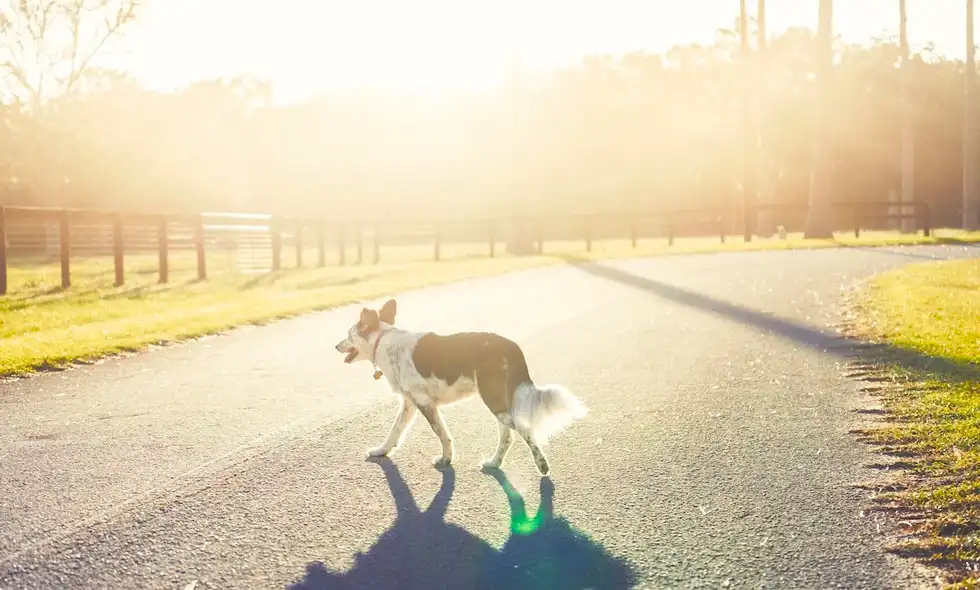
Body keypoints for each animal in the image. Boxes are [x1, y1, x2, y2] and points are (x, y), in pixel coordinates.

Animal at [334, 300, 584, 476]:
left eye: (349, 335)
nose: (336, 346)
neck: (383, 341)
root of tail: (511, 346)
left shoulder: (425, 402)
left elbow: (441, 433)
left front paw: (446, 459)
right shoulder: (409, 404)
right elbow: (395, 430)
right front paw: (381, 451)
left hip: (492, 398)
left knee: (523, 430)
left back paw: (541, 465)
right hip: (498, 401)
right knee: (507, 437)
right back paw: (494, 463)